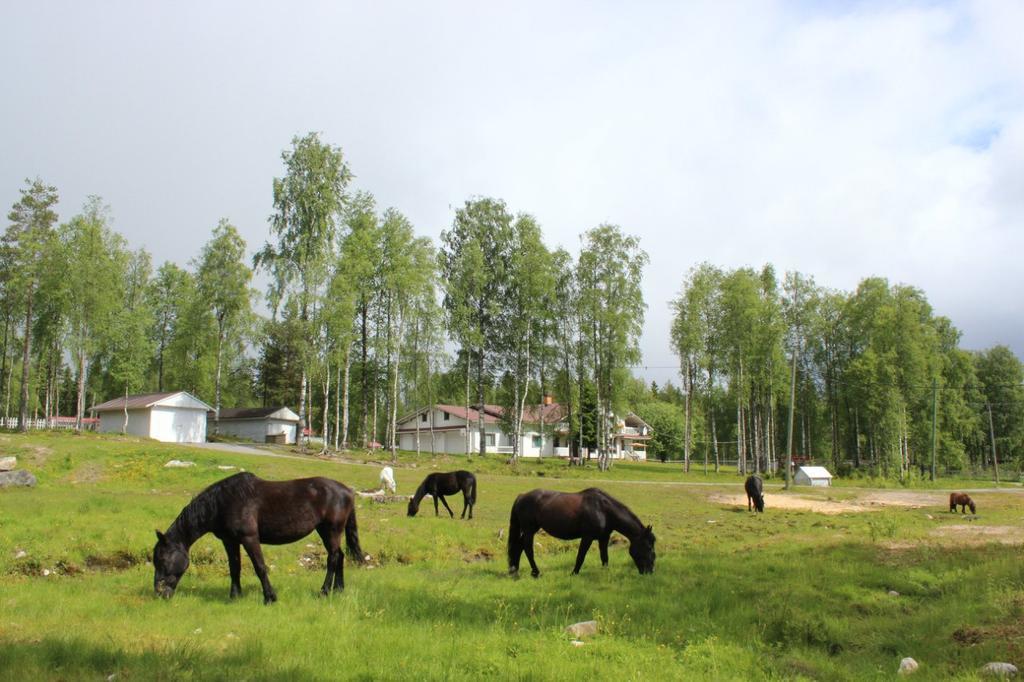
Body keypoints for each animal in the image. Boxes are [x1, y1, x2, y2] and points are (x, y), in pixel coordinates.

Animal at [149, 473, 362, 602]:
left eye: (163, 560)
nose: (159, 592)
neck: (224, 502)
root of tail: (347, 491)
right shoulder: (230, 541)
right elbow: (234, 568)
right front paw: (235, 596)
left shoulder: (250, 538)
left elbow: (260, 567)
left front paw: (270, 597)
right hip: (325, 531)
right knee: (340, 556)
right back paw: (338, 589)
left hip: (331, 530)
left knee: (333, 558)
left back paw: (324, 591)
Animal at [505, 485, 655, 577]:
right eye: (648, 546)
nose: (650, 571)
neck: (602, 509)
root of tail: (521, 496)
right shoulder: (587, 537)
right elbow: (580, 556)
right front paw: (574, 573)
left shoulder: (604, 538)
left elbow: (604, 557)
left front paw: (605, 573)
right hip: (529, 530)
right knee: (527, 549)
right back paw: (536, 573)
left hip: (528, 530)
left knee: (518, 546)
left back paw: (515, 571)